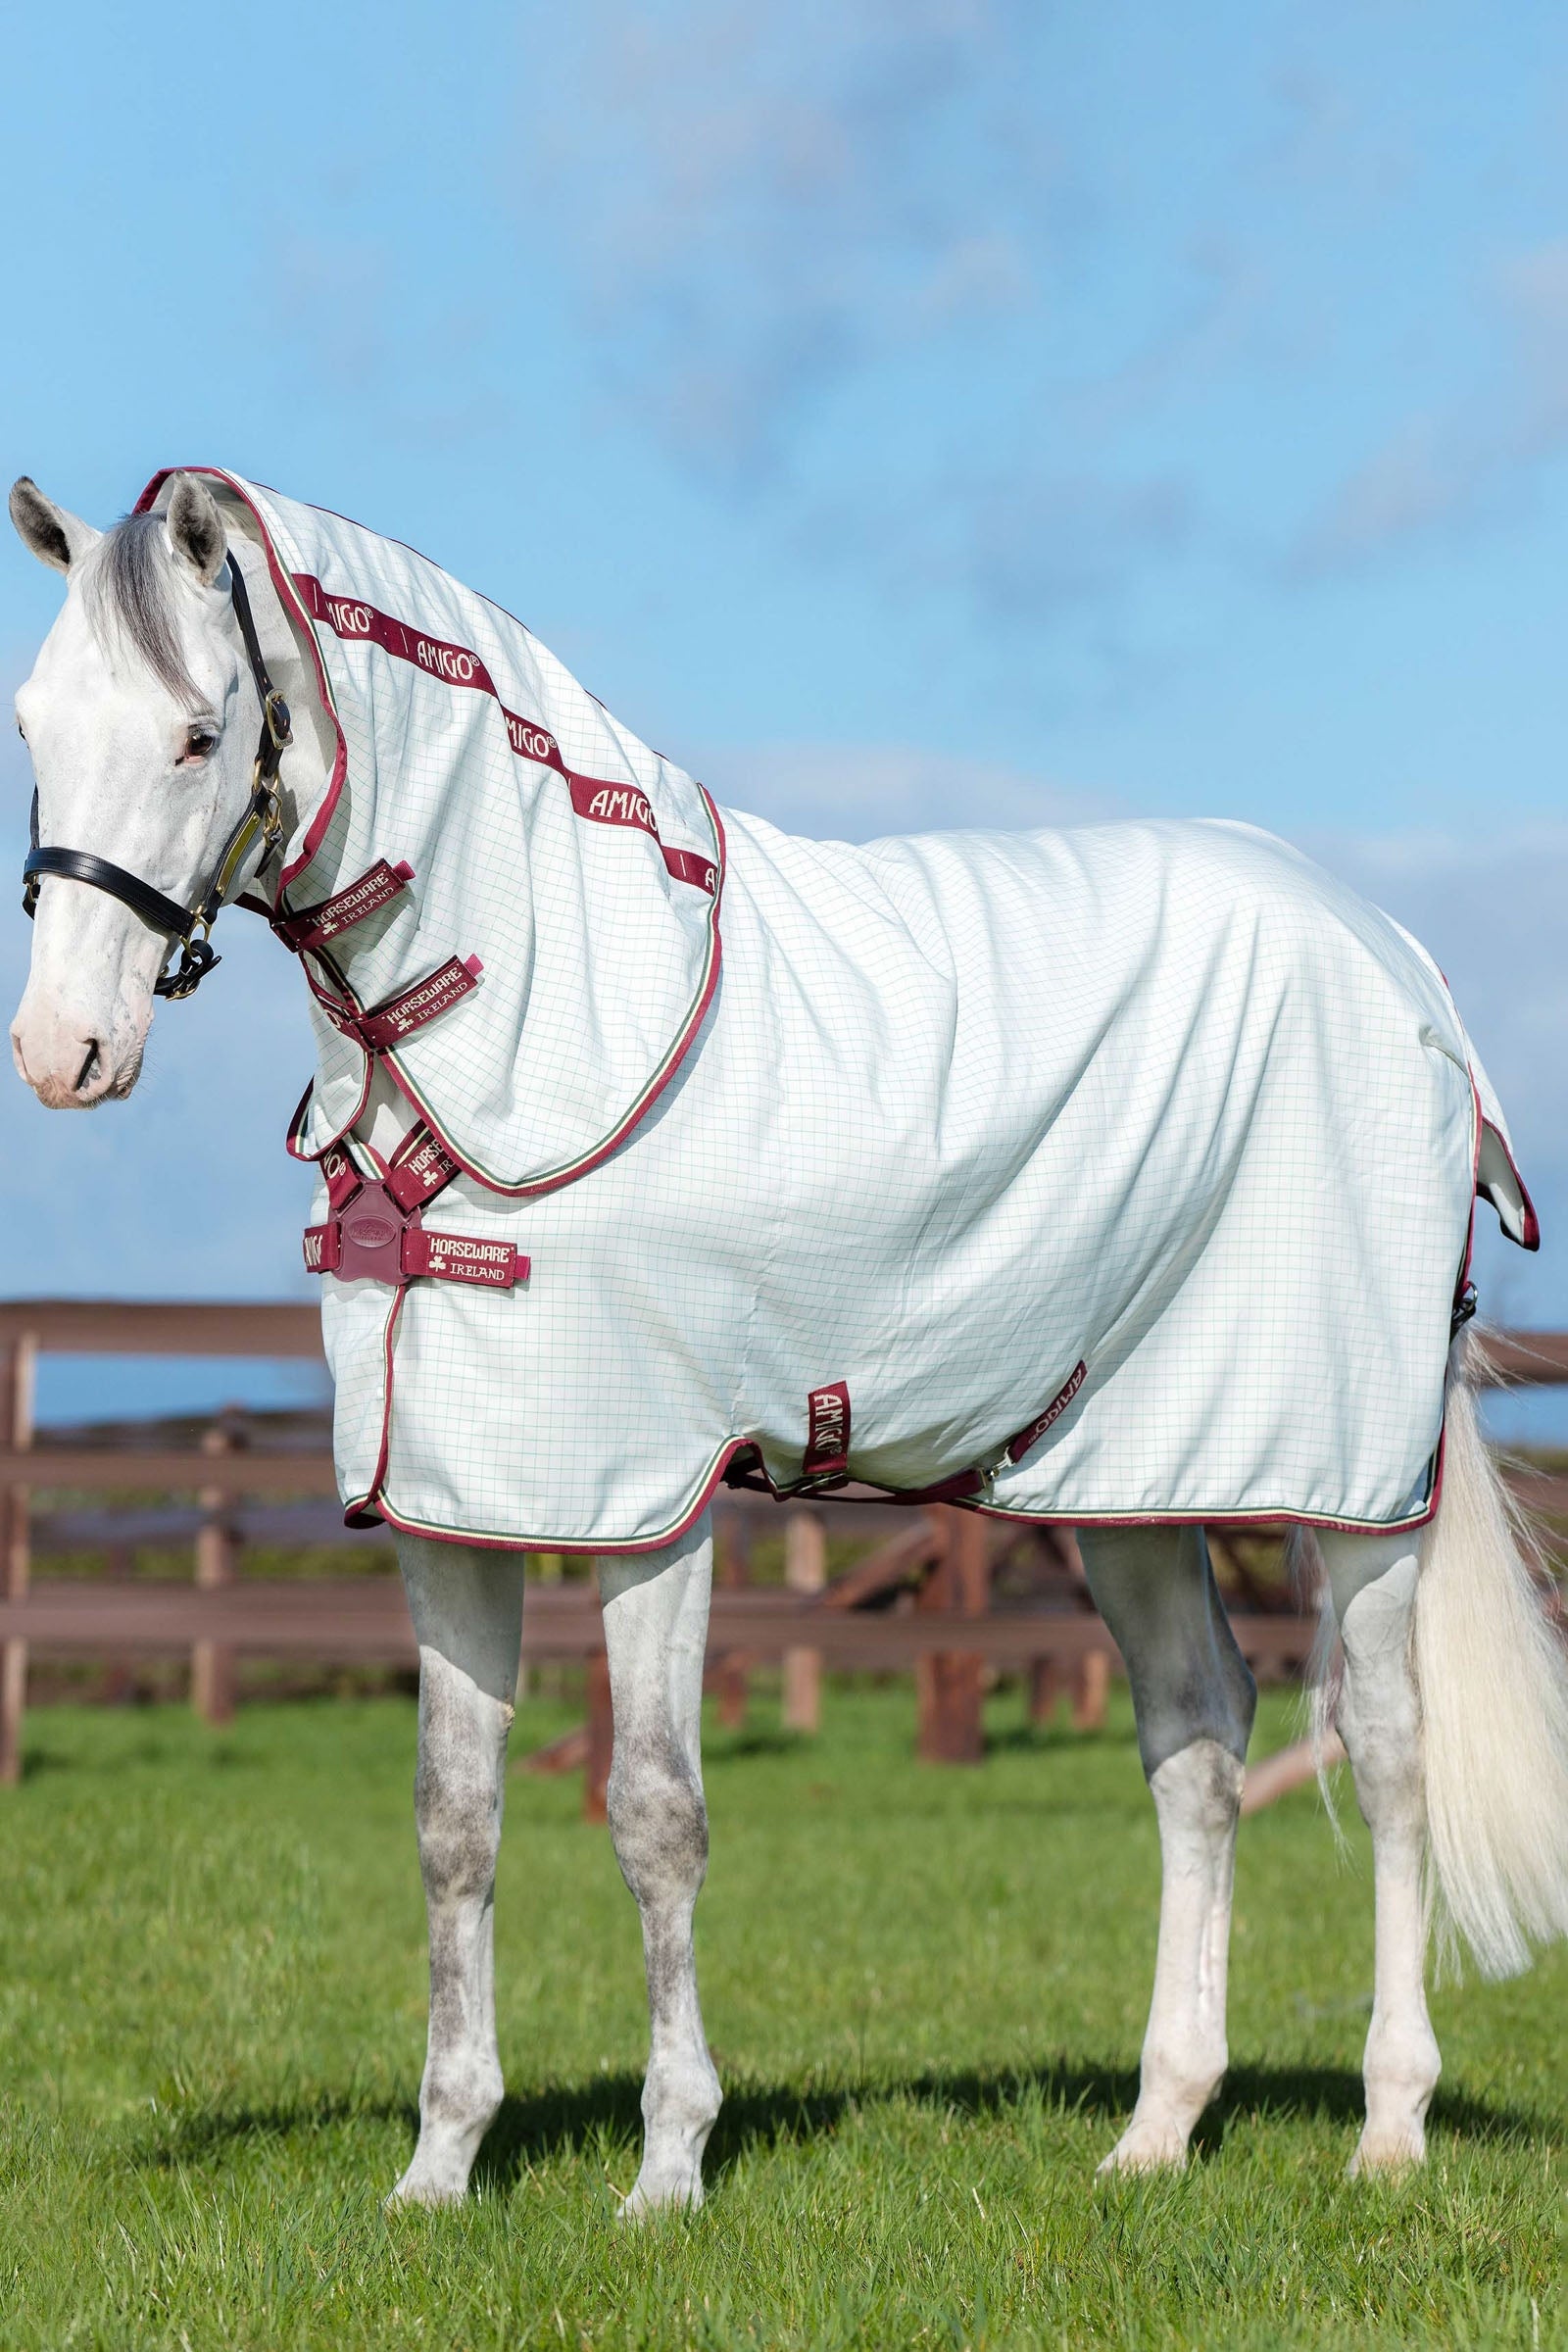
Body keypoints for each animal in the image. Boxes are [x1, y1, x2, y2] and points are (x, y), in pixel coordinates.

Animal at [10, 468, 1568, 2211]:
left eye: (199, 734)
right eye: (34, 722)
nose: (62, 1051)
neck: (538, 1030)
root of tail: (1399, 962)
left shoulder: (651, 1504)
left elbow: (652, 1814)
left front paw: (667, 2169)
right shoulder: (452, 1504)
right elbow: (453, 1821)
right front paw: (440, 2167)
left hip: (1350, 1484)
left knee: (1387, 1746)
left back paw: (1388, 2126)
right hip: (1129, 1476)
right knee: (1197, 1738)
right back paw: (1157, 2129)